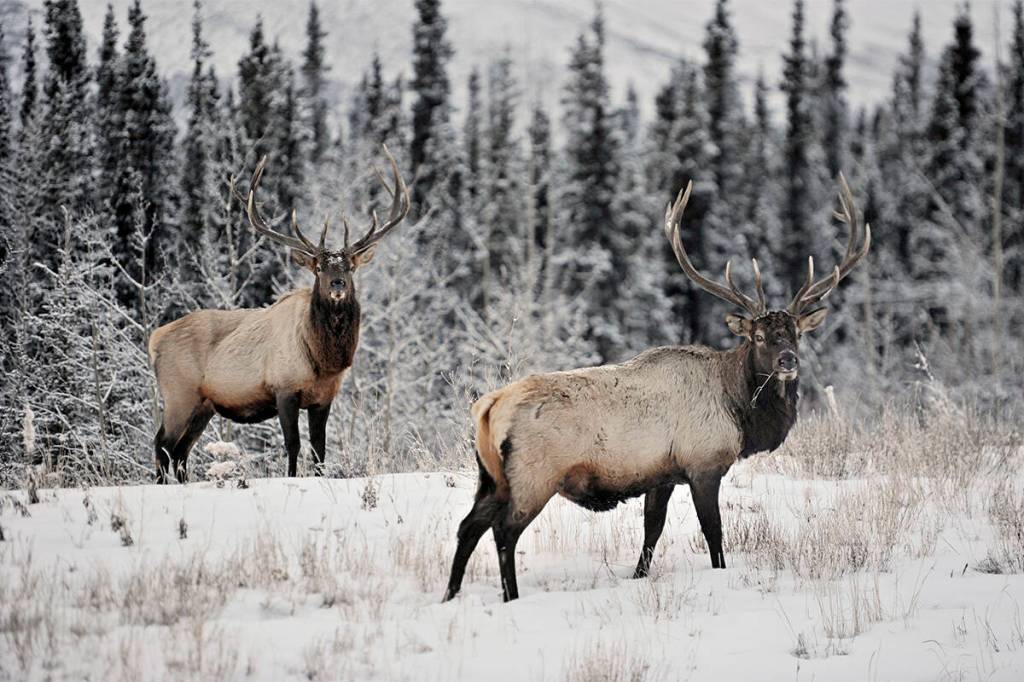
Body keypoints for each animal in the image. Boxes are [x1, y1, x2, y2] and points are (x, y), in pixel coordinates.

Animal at [148, 146, 410, 484]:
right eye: (319, 268)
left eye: (350, 267)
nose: (337, 284)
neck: (323, 361)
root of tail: (155, 339)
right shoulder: (284, 389)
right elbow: (293, 444)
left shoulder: (324, 397)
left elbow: (319, 448)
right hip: (178, 393)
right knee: (162, 444)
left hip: (203, 405)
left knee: (180, 451)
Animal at [443, 175, 870, 602]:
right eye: (760, 337)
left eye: (796, 334)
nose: (787, 361)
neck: (739, 411)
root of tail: (489, 406)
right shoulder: (703, 463)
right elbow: (713, 532)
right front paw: (718, 571)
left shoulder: (661, 474)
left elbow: (653, 528)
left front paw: (638, 575)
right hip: (535, 474)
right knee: (504, 531)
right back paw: (510, 595)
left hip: (491, 476)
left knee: (468, 526)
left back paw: (450, 594)